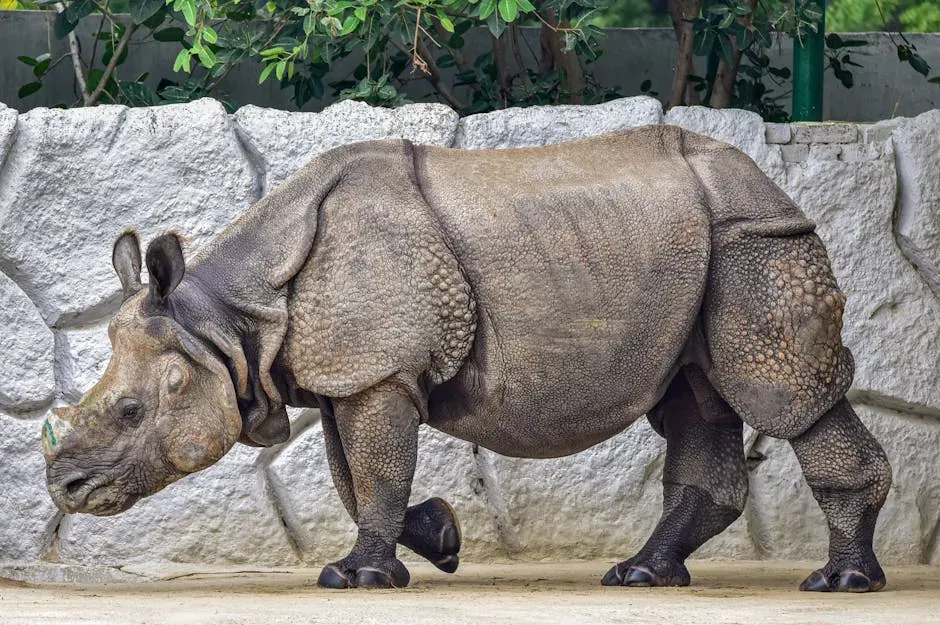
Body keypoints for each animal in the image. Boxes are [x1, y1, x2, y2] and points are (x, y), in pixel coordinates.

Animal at [41, 125, 891, 592]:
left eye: (130, 410)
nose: (64, 487)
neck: (230, 320)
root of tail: (774, 184)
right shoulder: (349, 375)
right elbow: (354, 479)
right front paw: (440, 539)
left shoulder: (376, 372)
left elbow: (374, 471)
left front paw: (358, 577)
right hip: (704, 249)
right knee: (695, 397)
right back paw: (643, 573)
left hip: (755, 240)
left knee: (777, 392)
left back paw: (840, 581)